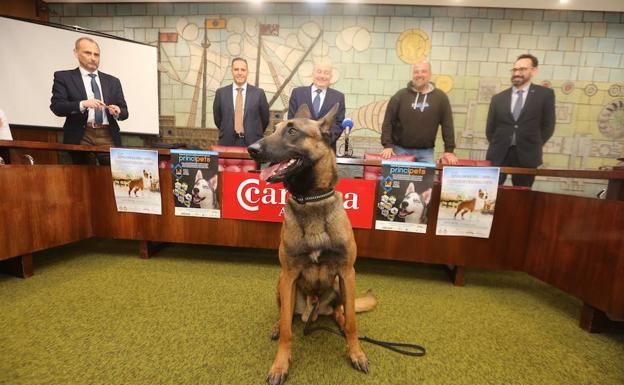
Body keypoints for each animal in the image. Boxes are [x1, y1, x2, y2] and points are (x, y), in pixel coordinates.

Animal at [247, 103, 376, 384]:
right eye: (274, 128)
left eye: (292, 131)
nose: (252, 148)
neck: (311, 199)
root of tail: (313, 309)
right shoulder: (289, 274)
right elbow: (287, 330)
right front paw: (280, 365)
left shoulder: (347, 272)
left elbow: (353, 321)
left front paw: (356, 353)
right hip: (281, 283)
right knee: (286, 315)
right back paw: (278, 325)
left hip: (339, 287)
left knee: (341, 312)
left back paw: (339, 321)